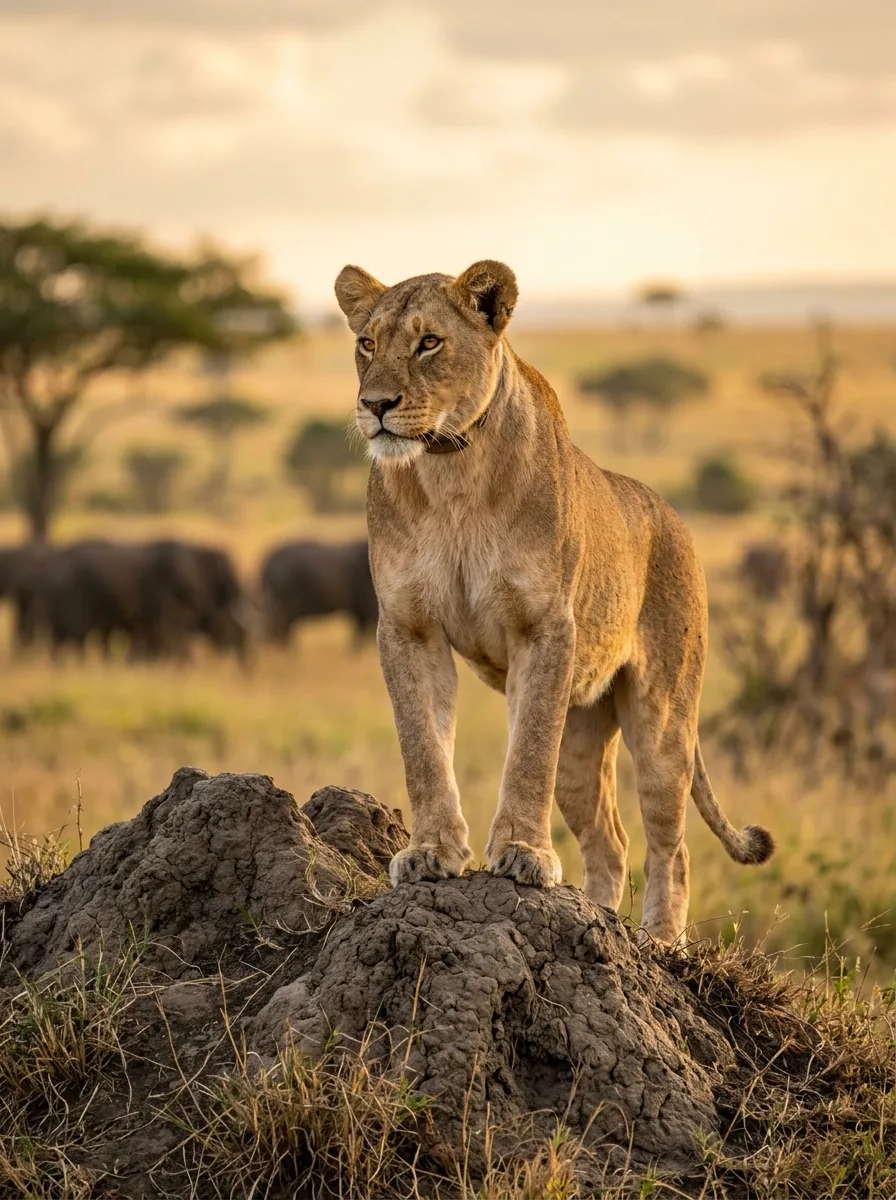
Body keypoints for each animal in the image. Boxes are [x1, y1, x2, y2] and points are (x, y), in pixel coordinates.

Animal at [334, 259, 774, 943]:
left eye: (429, 342)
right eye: (366, 344)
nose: (375, 405)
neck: (449, 470)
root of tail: (673, 518)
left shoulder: (544, 628)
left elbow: (527, 754)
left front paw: (523, 855)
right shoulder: (408, 627)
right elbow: (423, 747)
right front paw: (431, 852)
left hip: (664, 719)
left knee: (671, 847)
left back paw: (658, 944)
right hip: (584, 733)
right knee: (611, 843)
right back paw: (597, 919)